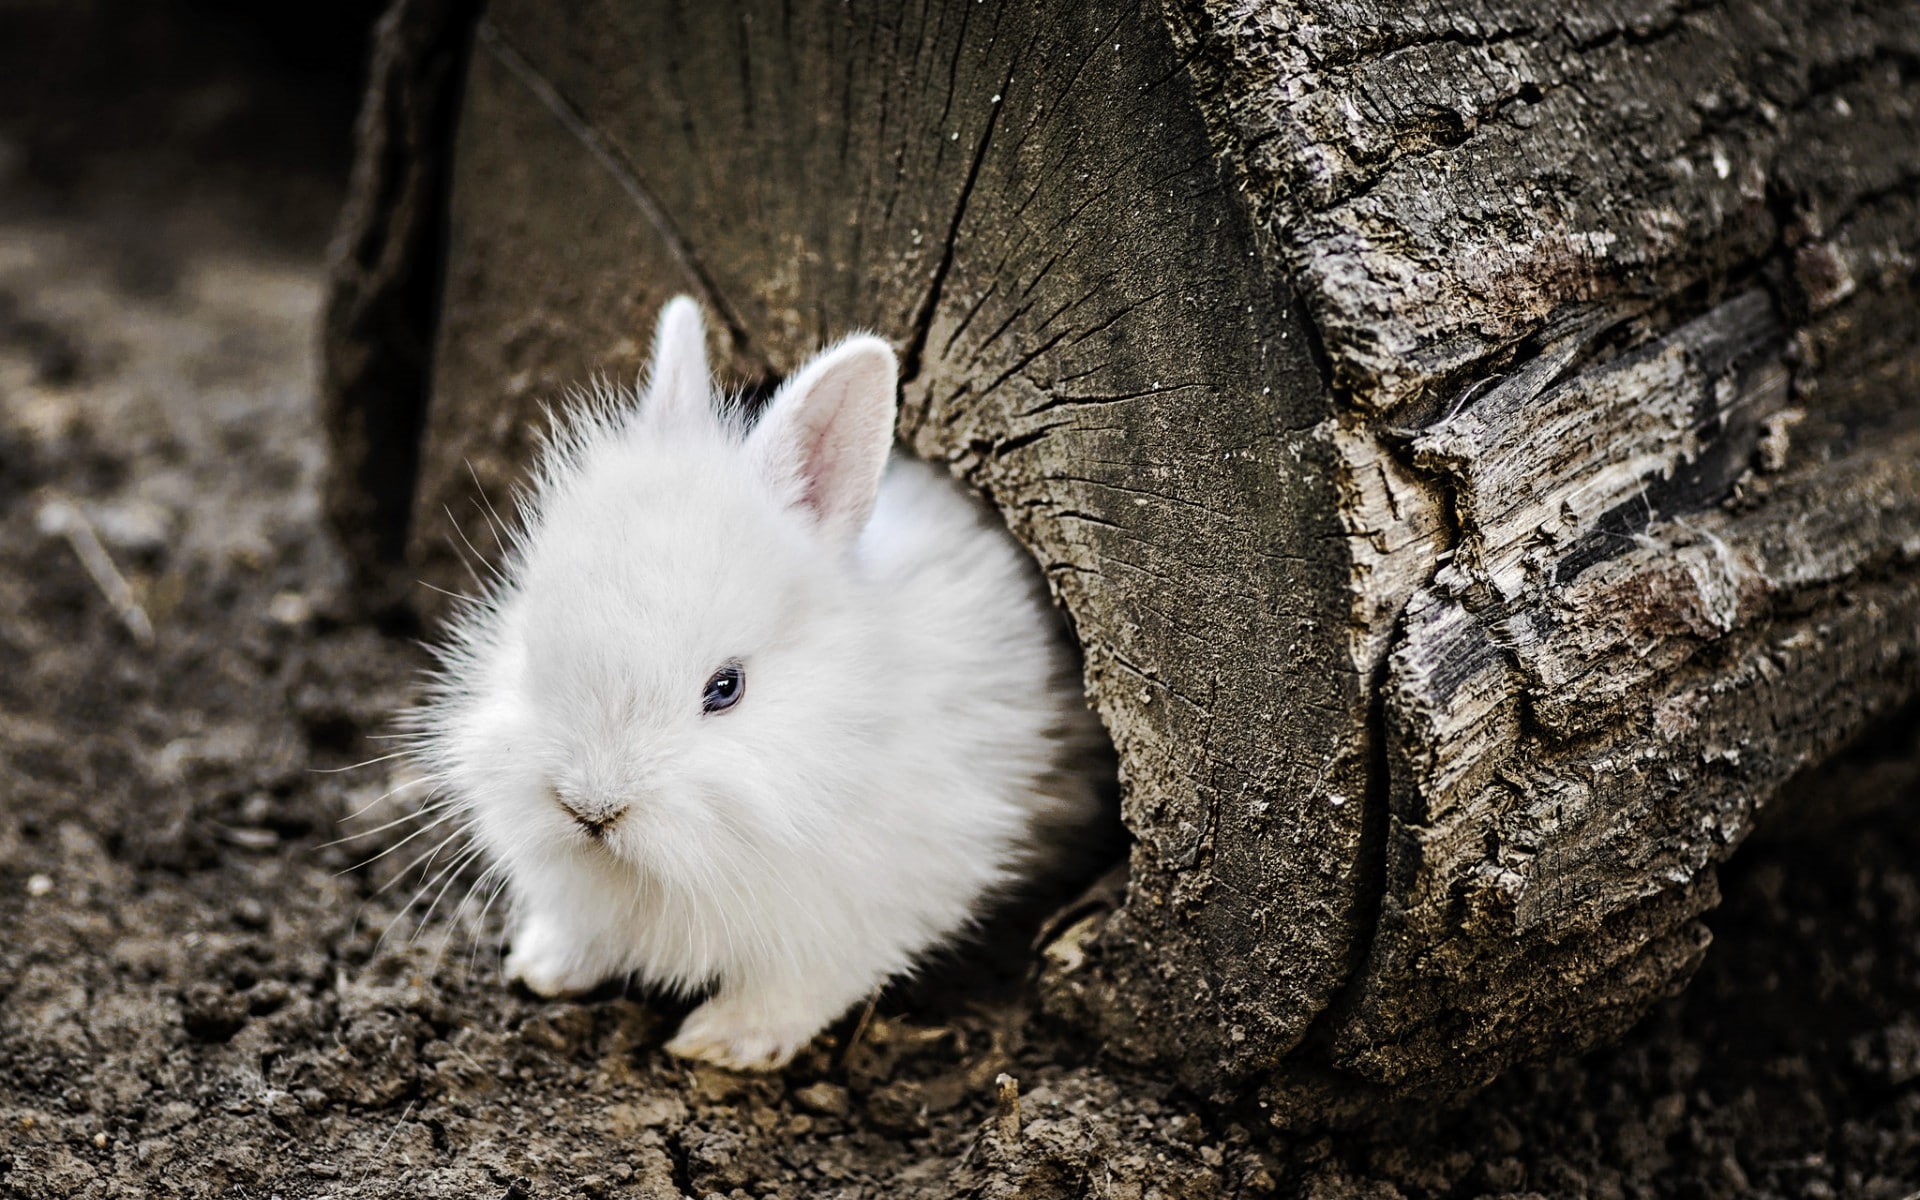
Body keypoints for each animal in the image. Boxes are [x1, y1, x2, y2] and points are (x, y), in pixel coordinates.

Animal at [402, 295, 1109, 1071]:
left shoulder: (869, 906)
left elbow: (795, 989)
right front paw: (544, 969)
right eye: (530, 645)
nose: (590, 809)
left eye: (726, 688)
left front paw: (720, 1043)